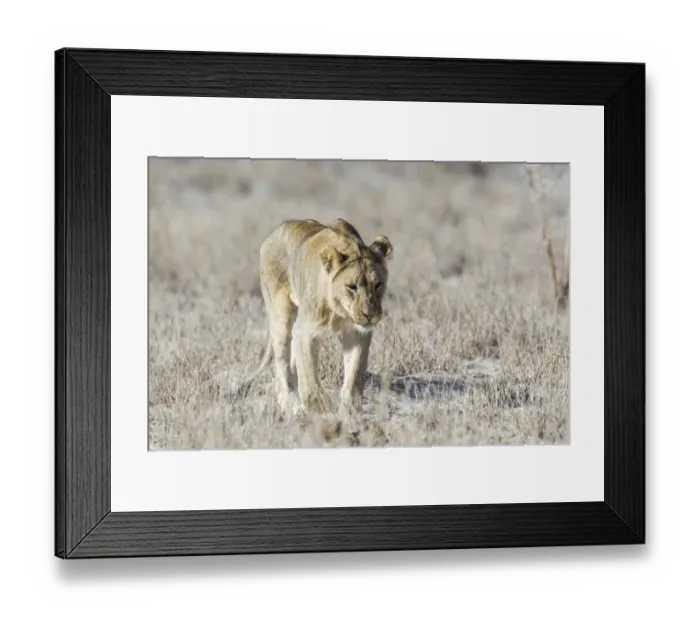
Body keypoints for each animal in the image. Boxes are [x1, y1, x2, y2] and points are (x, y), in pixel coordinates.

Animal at [238, 218, 393, 423]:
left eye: (378, 284)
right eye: (352, 286)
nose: (369, 314)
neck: (339, 311)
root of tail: (275, 232)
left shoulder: (357, 333)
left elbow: (354, 374)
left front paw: (350, 413)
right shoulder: (305, 332)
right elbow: (309, 375)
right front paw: (319, 410)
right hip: (281, 317)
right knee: (283, 366)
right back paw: (292, 407)